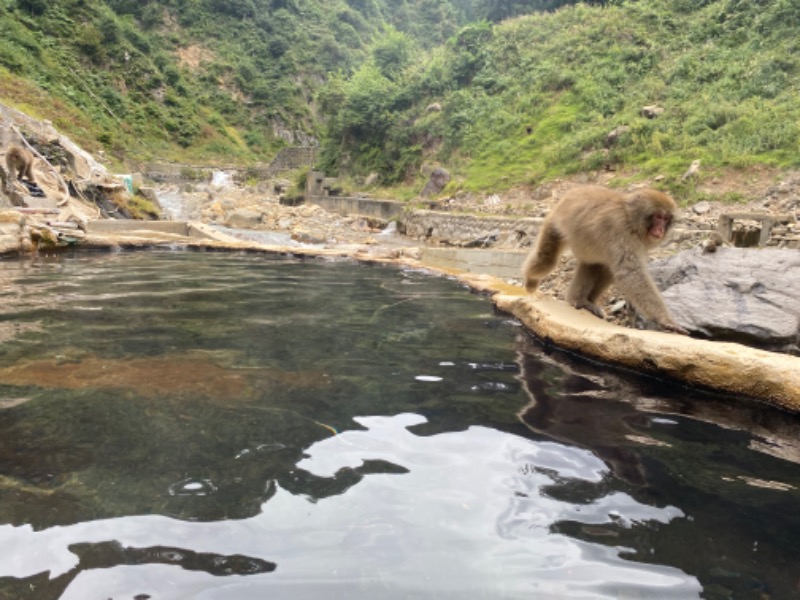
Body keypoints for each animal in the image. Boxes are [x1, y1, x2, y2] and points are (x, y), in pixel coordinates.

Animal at [524, 185, 688, 336]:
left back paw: (579, 300)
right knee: (545, 261)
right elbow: (630, 273)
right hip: (553, 225)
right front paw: (665, 320)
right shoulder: (620, 230)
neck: (630, 218)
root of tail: (567, 196)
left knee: (598, 267)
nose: (660, 230)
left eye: (666, 218)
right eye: (658, 217)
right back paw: (531, 281)